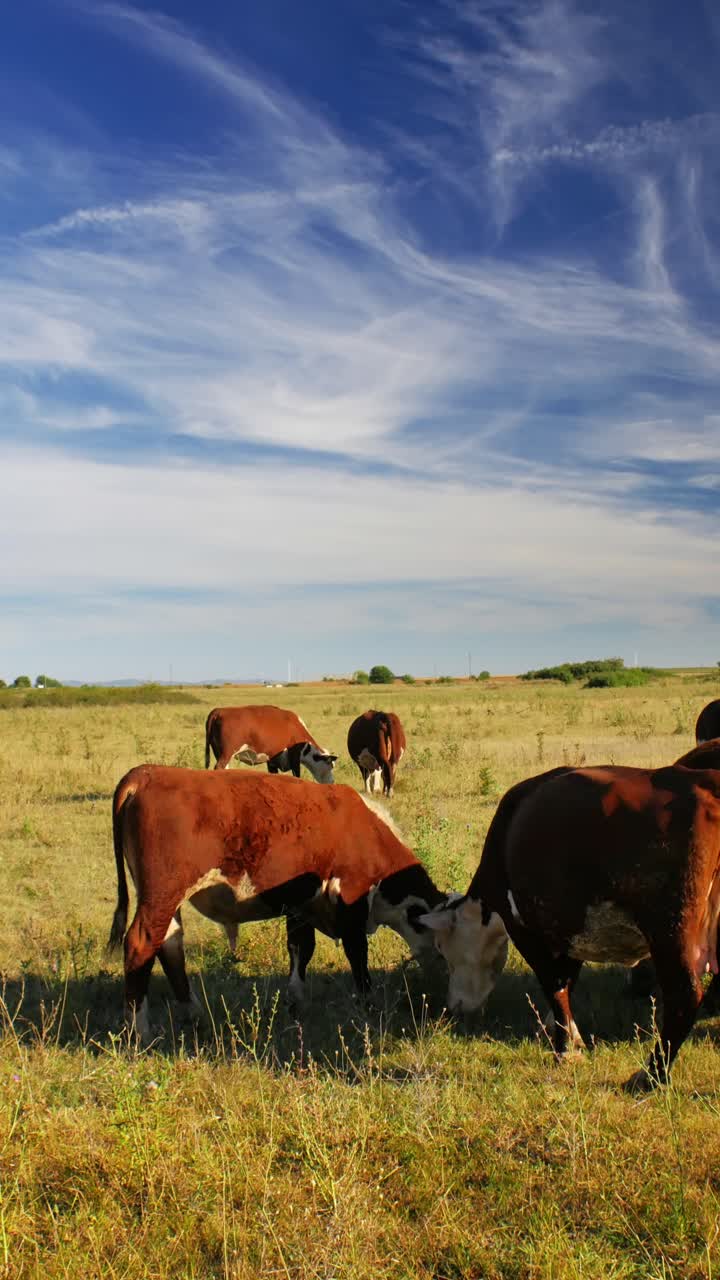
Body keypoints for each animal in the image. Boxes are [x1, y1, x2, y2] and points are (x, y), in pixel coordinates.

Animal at [108, 766, 447, 1041]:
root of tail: (146, 773)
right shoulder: (352, 899)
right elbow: (357, 954)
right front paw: (367, 1002)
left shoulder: (302, 904)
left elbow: (300, 949)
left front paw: (296, 1000)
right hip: (162, 895)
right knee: (141, 944)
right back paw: (139, 1030)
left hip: (164, 901)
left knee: (169, 944)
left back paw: (193, 1013)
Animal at [204, 705, 336, 782]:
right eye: (330, 765)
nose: (332, 782)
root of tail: (219, 711)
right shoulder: (294, 755)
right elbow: (296, 774)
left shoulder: (272, 759)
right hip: (226, 753)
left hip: (219, 753)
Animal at [419, 763, 720, 1091]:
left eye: (445, 952)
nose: (455, 1006)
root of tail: (703, 782)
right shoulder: (569, 929)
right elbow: (568, 980)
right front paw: (569, 1034)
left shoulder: (526, 929)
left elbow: (554, 984)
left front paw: (564, 1047)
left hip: (670, 929)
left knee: (684, 996)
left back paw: (650, 1074)